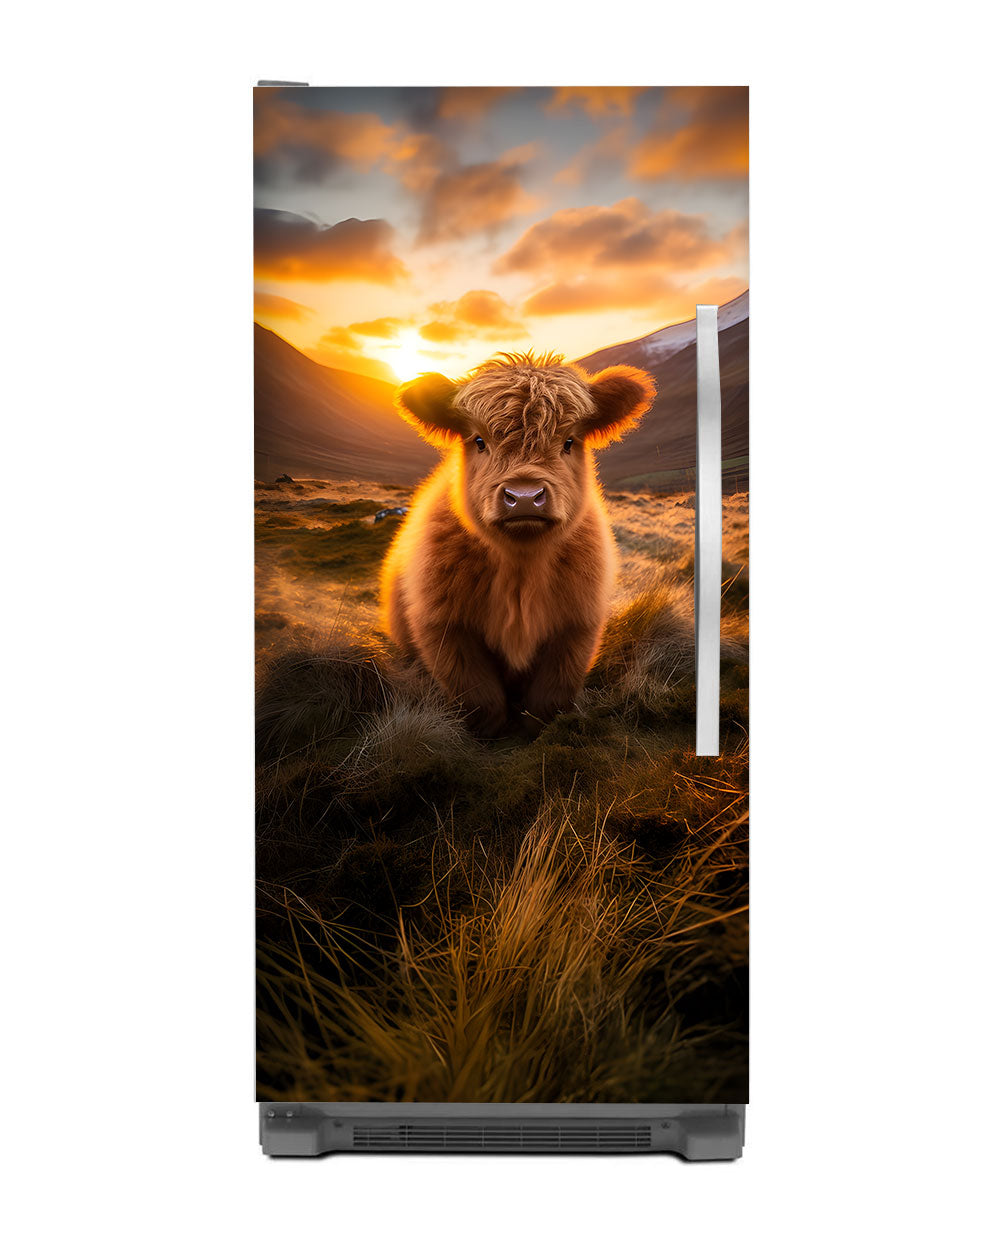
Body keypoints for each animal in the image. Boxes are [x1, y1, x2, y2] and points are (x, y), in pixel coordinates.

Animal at [380, 351, 656, 735]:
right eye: (479, 441)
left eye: (568, 441)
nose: (525, 497)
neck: (521, 569)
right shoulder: (444, 625)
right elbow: (479, 697)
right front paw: (488, 733)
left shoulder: (576, 626)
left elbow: (549, 697)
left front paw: (533, 730)